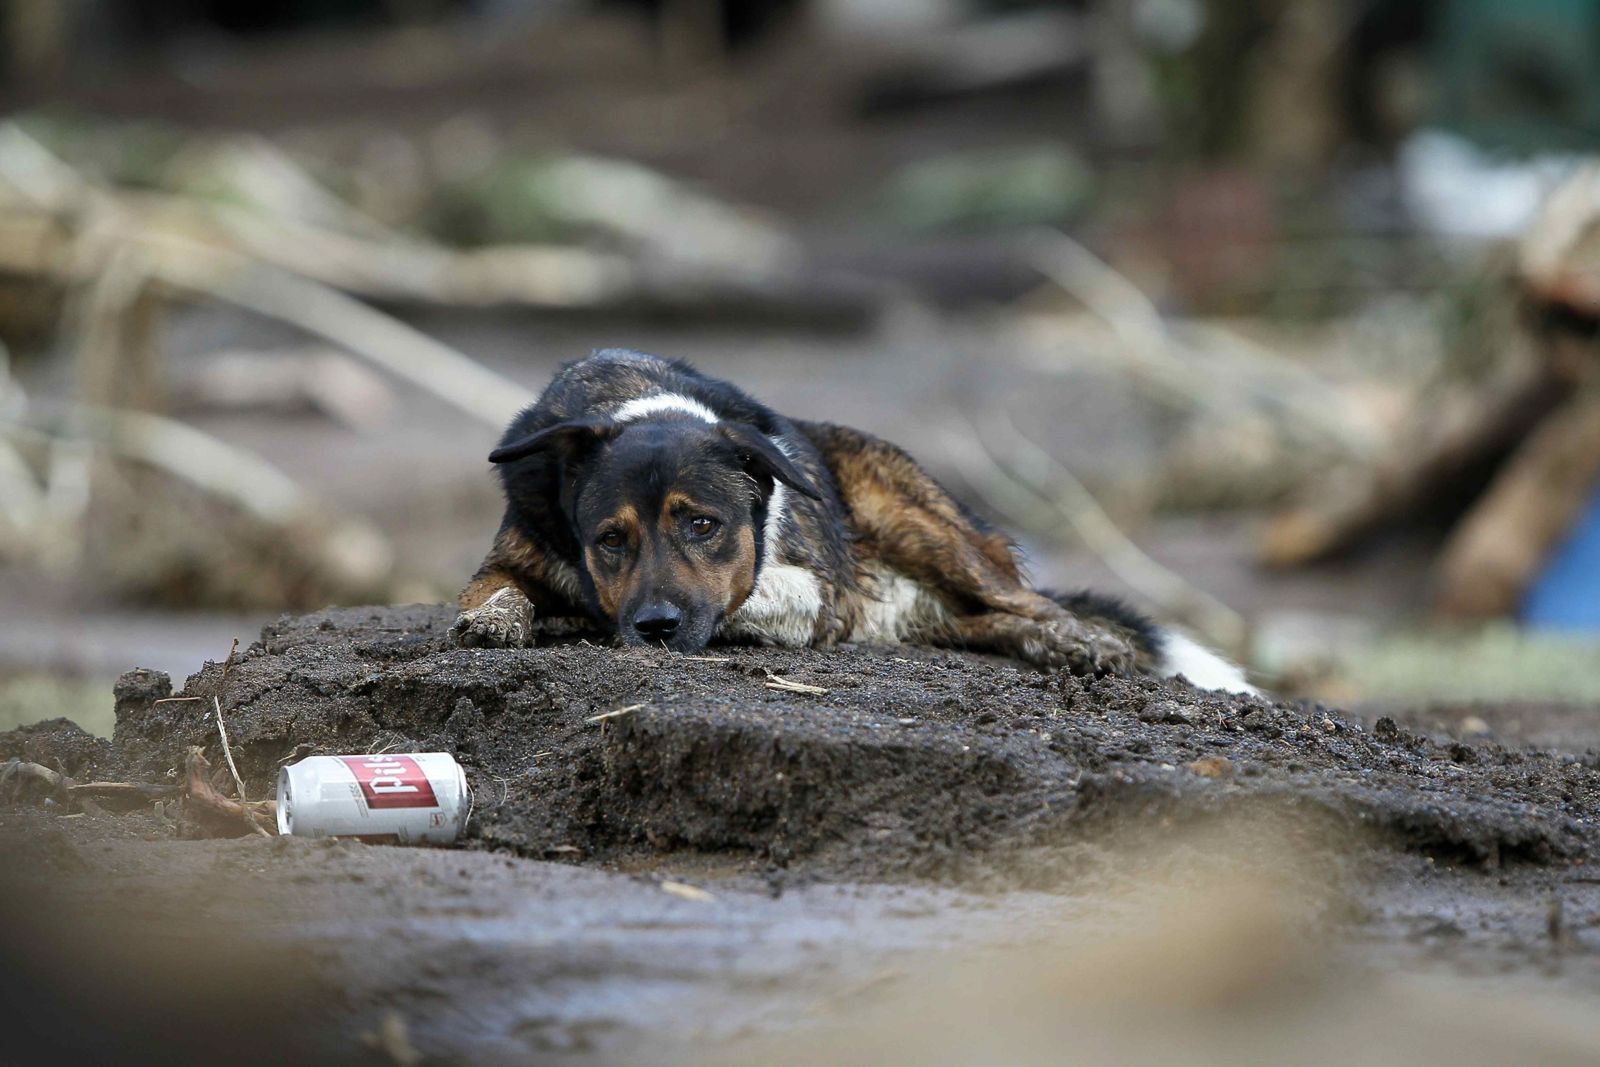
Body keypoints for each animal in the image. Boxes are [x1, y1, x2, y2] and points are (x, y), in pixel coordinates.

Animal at [457, 350, 1254, 694]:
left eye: (704, 525)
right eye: (610, 539)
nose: (654, 627)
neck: (639, 401)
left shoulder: (815, 595)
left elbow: (745, 598)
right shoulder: (512, 555)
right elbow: (494, 590)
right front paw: (498, 620)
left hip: (924, 528)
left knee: (1033, 602)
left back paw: (1083, 643)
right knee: (990, 622)